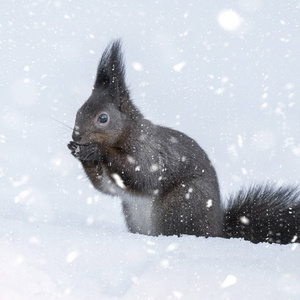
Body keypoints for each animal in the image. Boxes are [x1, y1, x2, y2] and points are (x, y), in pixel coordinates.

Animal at [68, 39, 300, 244]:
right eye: (78, 111)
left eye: (103, 118)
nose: (76, 137)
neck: (128, 133)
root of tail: (218, 233)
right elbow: (106, 186)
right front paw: (78, 152)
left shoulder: (149, 152)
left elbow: (141, 175)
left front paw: (98, 149)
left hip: (181, 203)